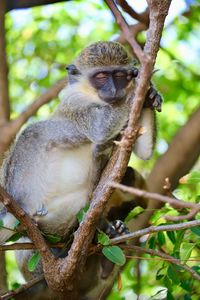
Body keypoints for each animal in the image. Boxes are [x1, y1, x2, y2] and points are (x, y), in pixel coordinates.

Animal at [0, 41, 162, 298]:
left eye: (118, 75)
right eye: (102, 76)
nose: (114, 90)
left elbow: (143, 151)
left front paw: (150, 93)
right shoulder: (74, 104)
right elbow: (99, 127)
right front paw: (142, 84)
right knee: (36, 132)